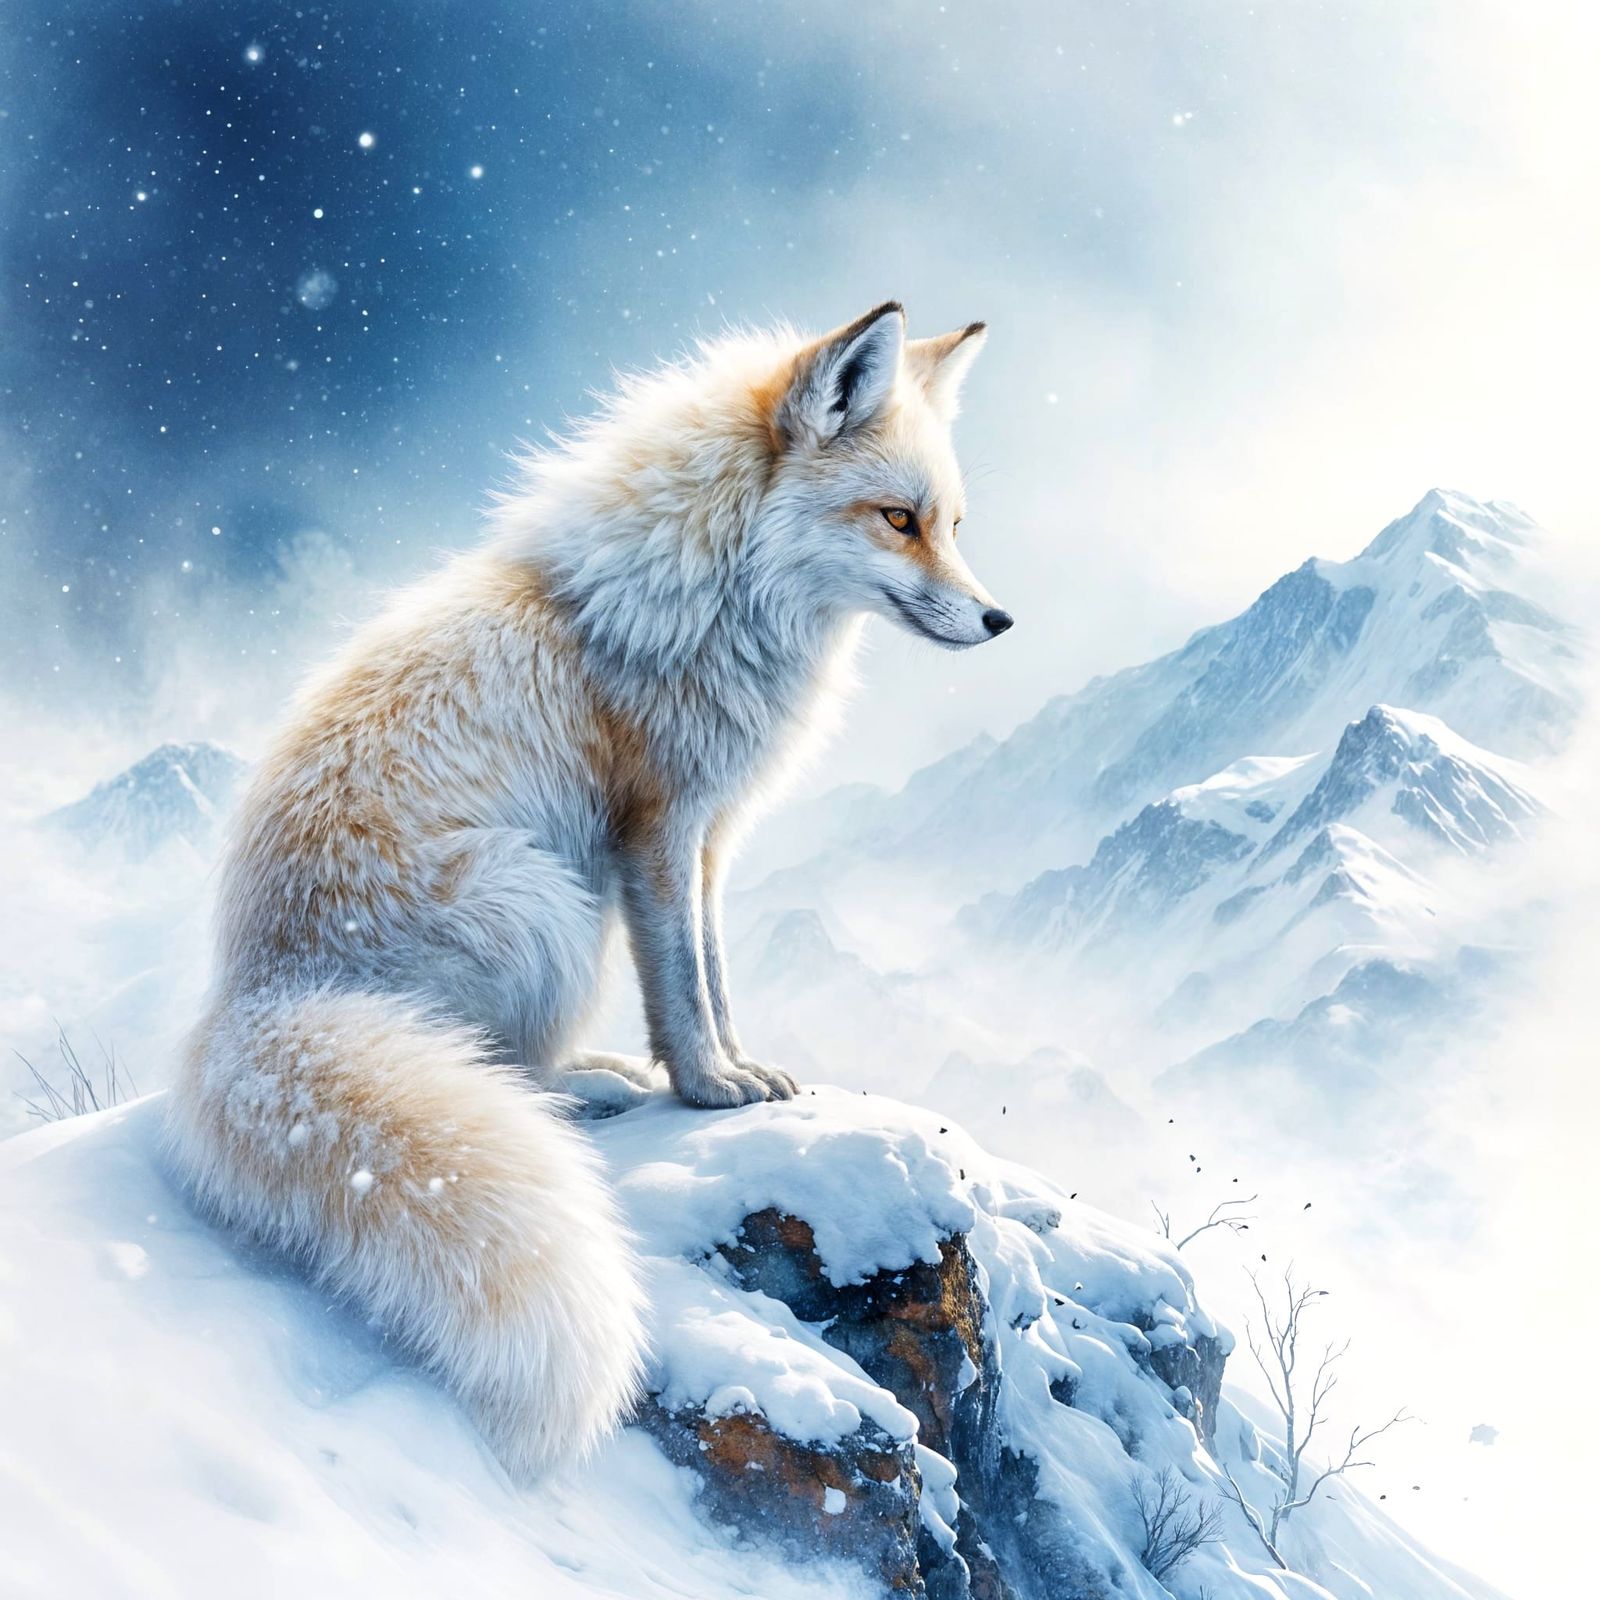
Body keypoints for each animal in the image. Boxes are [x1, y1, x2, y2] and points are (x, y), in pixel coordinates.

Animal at [164, 301, 1011, 1480]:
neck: (714, 588)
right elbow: (682, 986)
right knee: (499, 1067)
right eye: (899, 520)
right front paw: (708, 1090)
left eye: (953, 523)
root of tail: (252, 1002)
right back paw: (577, 1092)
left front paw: (747, 1070)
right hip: (547, 902)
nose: (1000, 621)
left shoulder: (707, 840)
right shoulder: (655, 829)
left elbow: (713, 973)